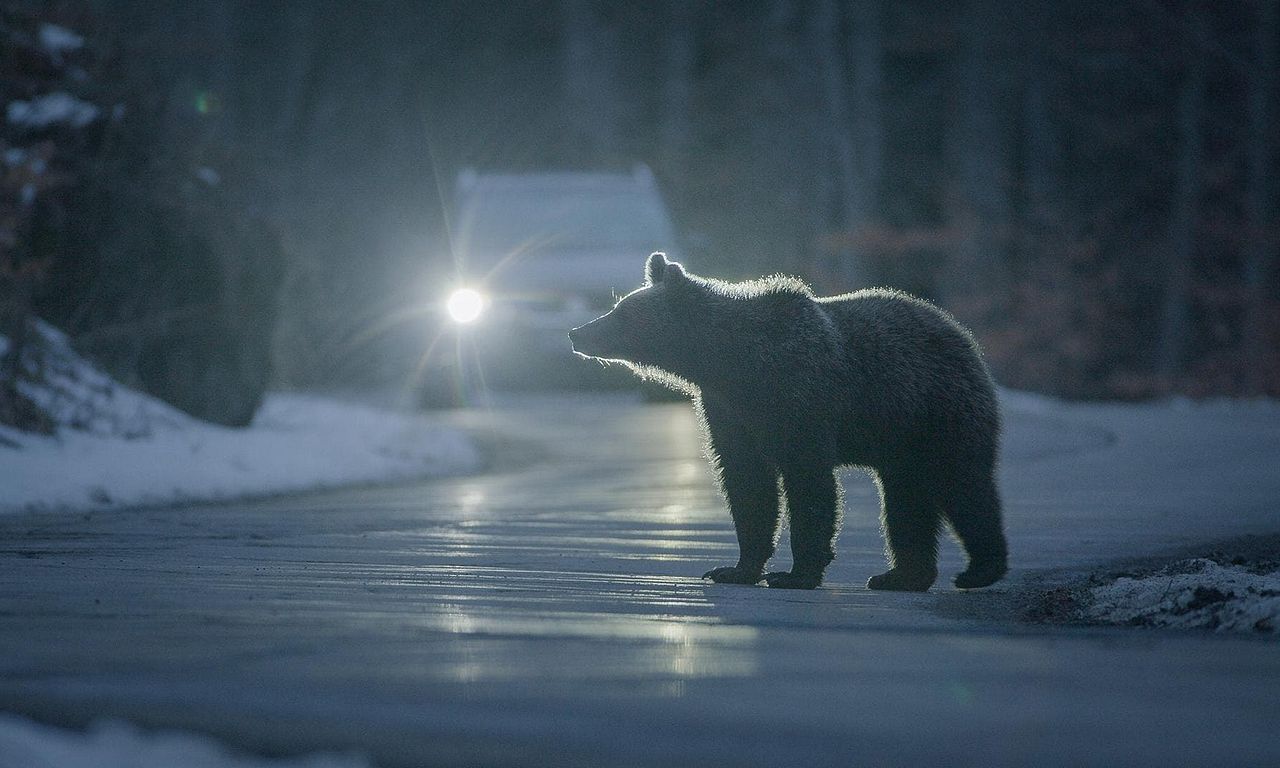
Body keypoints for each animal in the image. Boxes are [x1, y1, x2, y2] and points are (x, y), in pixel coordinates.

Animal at [568, 253, 1007, 591]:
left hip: (938, 412)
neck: (731, 362)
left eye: (621, 312)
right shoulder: (728, 409)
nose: (577, 332)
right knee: (905, 501)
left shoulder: (799, 395)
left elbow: (808, 481)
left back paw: (978, 570)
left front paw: (795, 573)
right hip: (902, 441)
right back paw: (901, 577)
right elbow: (747, 482)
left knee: (964, 485)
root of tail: (962, 334)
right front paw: (735, 568)